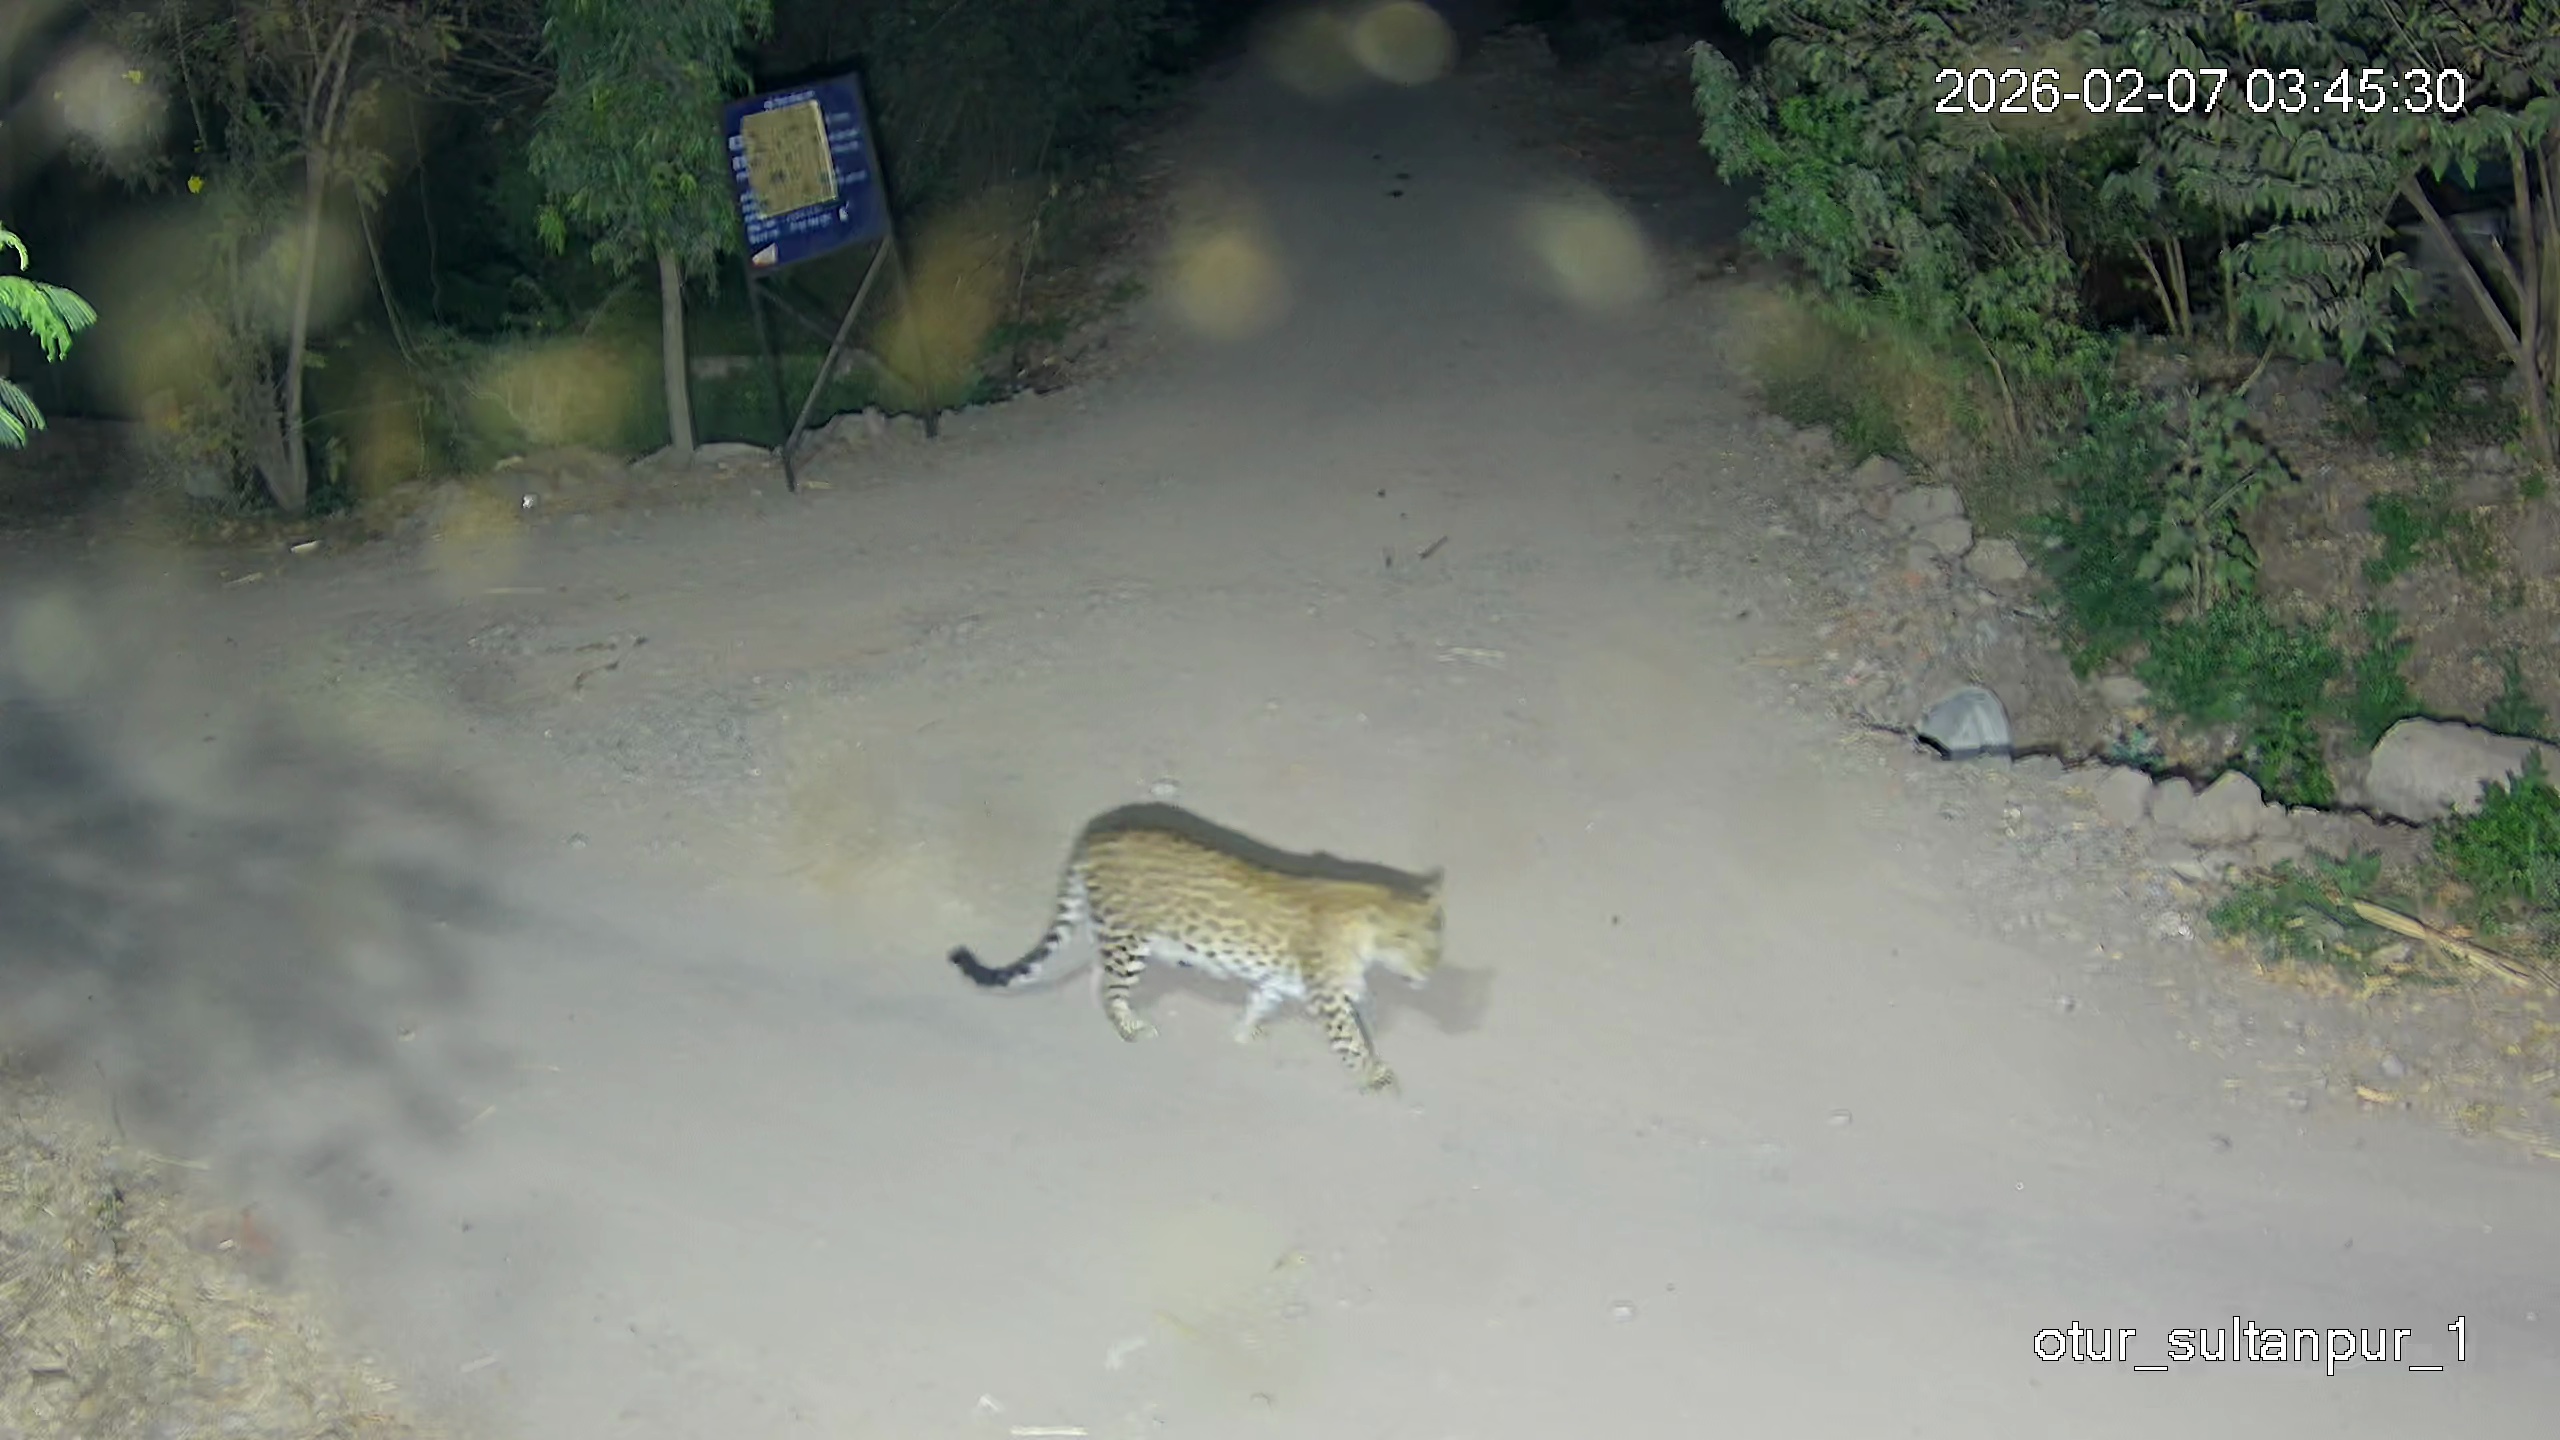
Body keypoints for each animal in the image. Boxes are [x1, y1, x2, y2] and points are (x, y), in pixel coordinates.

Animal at [947, 815, 1443, 1093]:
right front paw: (1375, 1076)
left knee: (1095, 976)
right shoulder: (1330, 1000)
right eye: (1403, 940)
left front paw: (1244, 1032)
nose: (1429, 971)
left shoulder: (1280, 979)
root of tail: (1096, 837)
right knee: (1109, 987)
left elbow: (1260, 999)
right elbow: (1352, 1041)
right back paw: (1131, 1029)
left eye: (1435, 939)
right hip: (1128, 940)